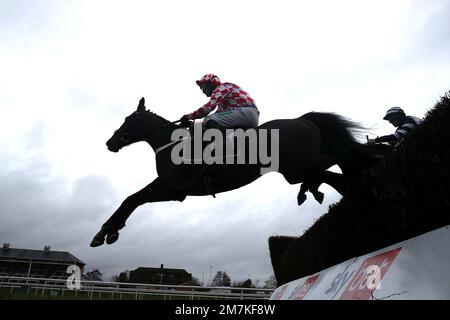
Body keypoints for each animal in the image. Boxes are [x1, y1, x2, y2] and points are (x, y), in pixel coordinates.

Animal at [89, 98, 378, 248]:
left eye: (129, 120)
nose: (110, 142)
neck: (172, 143)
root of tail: (302, 119)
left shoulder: (173, 189)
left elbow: (132, 199)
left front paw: (105, 232)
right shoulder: (168, 187)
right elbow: (132, 198)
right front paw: (109, 231)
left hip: (299, 166)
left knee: (339, 158)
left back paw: (367, 165)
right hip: (296, 169)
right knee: (330, 174)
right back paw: (329, 187)